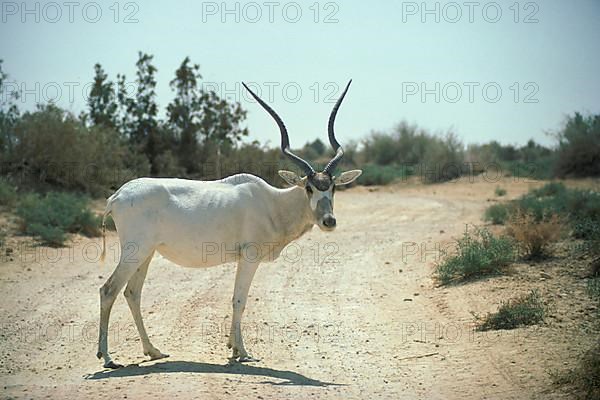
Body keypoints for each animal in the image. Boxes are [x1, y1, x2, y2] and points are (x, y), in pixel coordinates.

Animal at [96, 80, 364, 368]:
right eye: (309, 188)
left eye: (333, 187)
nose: (329, 221)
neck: (273, 203)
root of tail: (116, 197)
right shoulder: (249, 257)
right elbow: (239, 300)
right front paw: (242, 352)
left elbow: (237, 299)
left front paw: (233, 348)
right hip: (135, 252)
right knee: (108, 290)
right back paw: (107, 358)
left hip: (146, 253)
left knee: (132, 293)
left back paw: (153, 351)